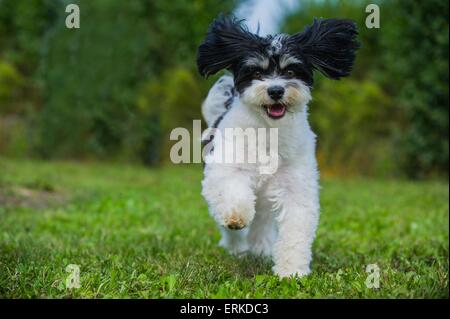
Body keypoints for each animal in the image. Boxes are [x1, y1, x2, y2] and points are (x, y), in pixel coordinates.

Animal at [197, 13, 358, 278]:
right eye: (256, 72)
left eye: (291, 70)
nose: (275, 90)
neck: (268, 133)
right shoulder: (225, 169)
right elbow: (232, 191)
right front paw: (237, 216)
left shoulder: (297, 187)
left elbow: (295, 230)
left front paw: (292, 271)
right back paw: (237, 248)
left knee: (262, 222)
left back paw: (261, 250)